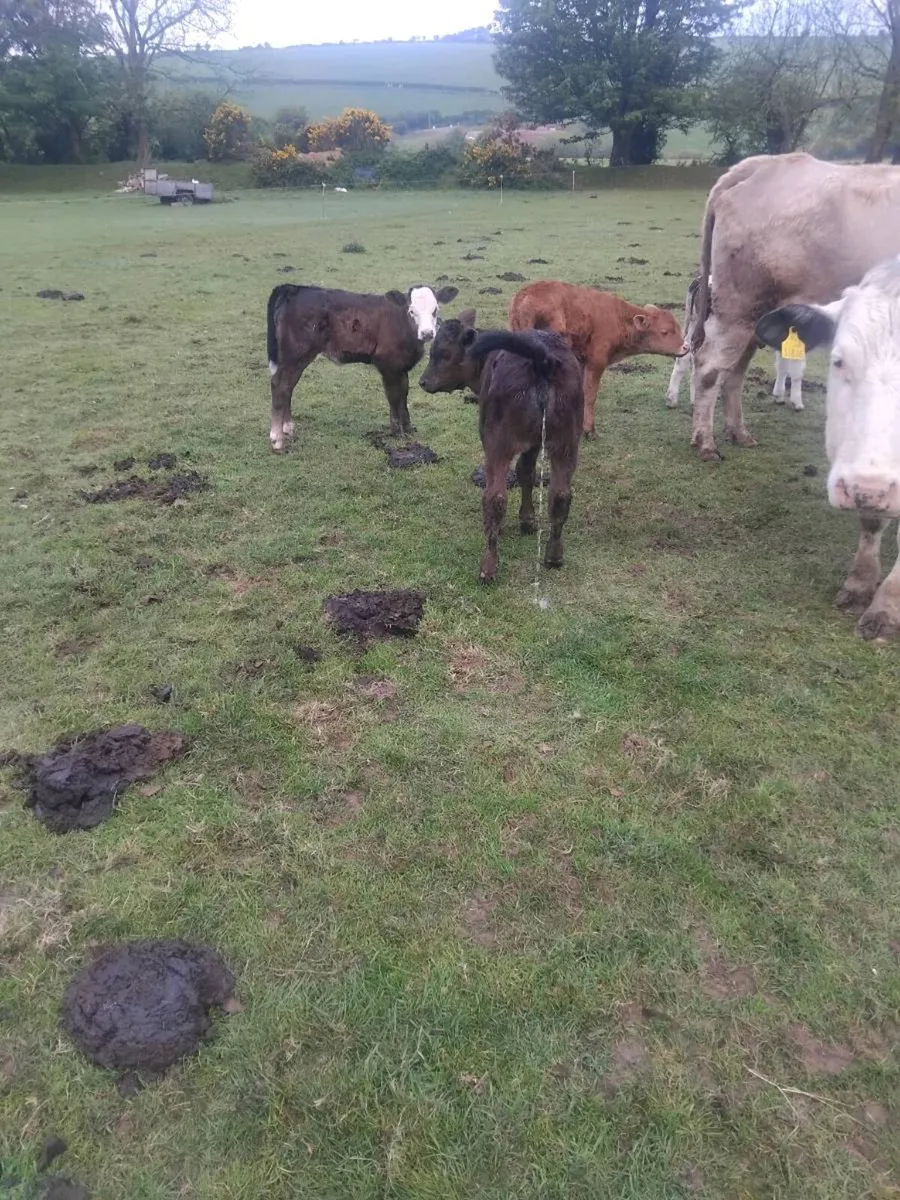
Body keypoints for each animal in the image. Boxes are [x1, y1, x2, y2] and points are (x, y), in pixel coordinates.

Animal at [266, 282, 458, 452]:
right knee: (279, 384)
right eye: (412, 311)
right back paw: (277, 440)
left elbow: (403, 395)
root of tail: (294, 288)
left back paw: (288, 428)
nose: (427, 333)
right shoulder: (388, 365)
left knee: (288, 386)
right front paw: (396, 432)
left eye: (435, 309)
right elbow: (394, 396)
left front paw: (408, 430)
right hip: (295, 353)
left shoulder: (401, 368)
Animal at [419, 310, 584, 583]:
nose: (423, 381)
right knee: (560, 495)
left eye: (442, 352)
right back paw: (554, 555)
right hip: (567, 442)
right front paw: (528, 521)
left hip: (498, 444)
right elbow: (526, 472)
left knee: (495, 499)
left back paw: (488, 567)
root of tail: (543, 359)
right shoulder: (533, 444)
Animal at [508, 281, 685, 438]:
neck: (617, 318)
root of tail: (526, 294)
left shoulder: (581, 360)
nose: (686, 347)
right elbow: (590, 395)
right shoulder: (596, 363)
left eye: (678, 327)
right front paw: (589, 431)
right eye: (664, 331)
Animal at [667, 273, 808, 411]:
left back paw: (674, 399)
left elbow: (782, 365)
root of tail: (701, 280)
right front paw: (797, 402)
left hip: (694, 325)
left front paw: (779, 396)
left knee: (685, 358)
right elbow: (797, 370)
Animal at [690, 152, 900, 461]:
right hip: (738, 309)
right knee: (710, 369)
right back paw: (706, 442)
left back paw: (738, 433)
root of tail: (763, 163)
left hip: (757, 318)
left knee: (735, 372)